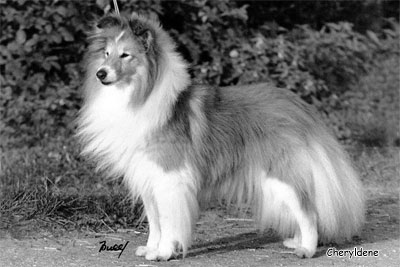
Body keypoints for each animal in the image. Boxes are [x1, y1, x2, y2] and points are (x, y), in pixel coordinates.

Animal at [76, 13, 366, 262]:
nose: (100, 74)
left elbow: (169, 222)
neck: (138, 95)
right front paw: (150, 249)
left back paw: (306, 248)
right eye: (106, 53)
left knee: (308, 211)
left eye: (126, 55)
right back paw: (296, 241)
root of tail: (299, 106)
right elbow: (155, 221)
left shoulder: (170, 179)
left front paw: (164, 253)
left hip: (281, 174)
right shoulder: (148, 176)